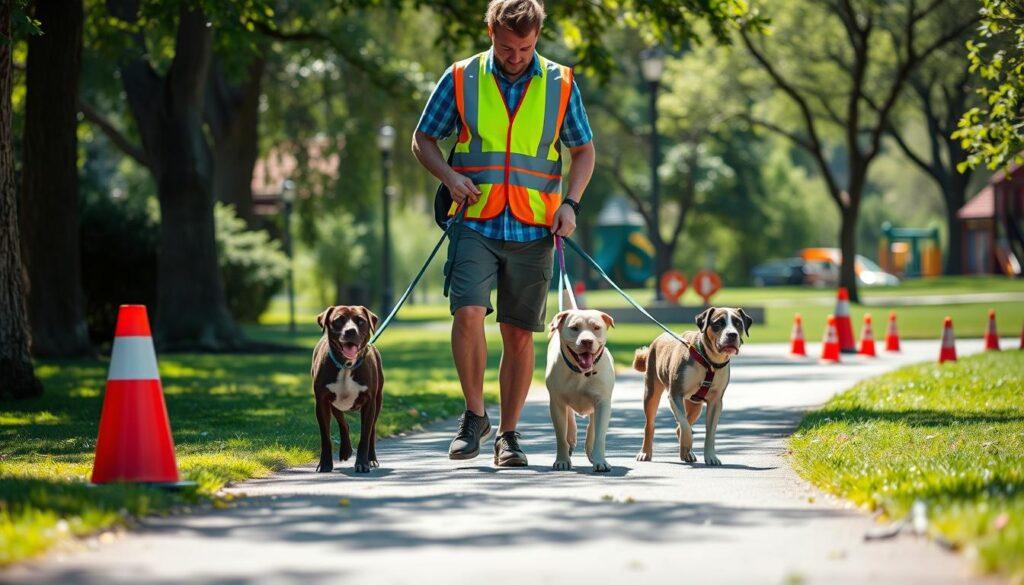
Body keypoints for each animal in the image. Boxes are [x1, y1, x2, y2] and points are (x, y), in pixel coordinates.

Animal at [311, 305, 385, 473]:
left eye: (361, 321)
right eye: (339, 320)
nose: (350, 331)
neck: (346, 365)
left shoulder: (369, 402)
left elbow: (365, 435)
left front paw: (362, 463)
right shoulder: (322, 402)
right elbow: (325, 436)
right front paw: (325, 464)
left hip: (378, 401)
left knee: (372, 429)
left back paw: (371, 458)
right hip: (335, 404)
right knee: (343, 423)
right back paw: (346, 450)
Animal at [544, 309, 614, 473]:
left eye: (596, 328)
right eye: (574, 328)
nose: (587, 341)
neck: (581, 372)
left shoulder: (603, 403)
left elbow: (599, 435)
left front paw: (600, 461)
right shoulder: (556, 403)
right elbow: (560, 435)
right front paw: (562, 460)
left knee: (592, 426)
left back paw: (591, 451)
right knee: (570, 420)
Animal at [626, 307, 749, 467]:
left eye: (738, 323)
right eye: (718, 323)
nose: (732, 334)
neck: (709, 361)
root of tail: (658, 339)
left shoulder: (716, 402)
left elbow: (710, 431)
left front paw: (710, 456)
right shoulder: (675, 394)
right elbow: (685, 426)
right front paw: (687, 444)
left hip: (695, 406)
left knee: (683, 423)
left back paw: (686, 452)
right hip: (651, 392)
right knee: (651, 424)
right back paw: (646, 452)